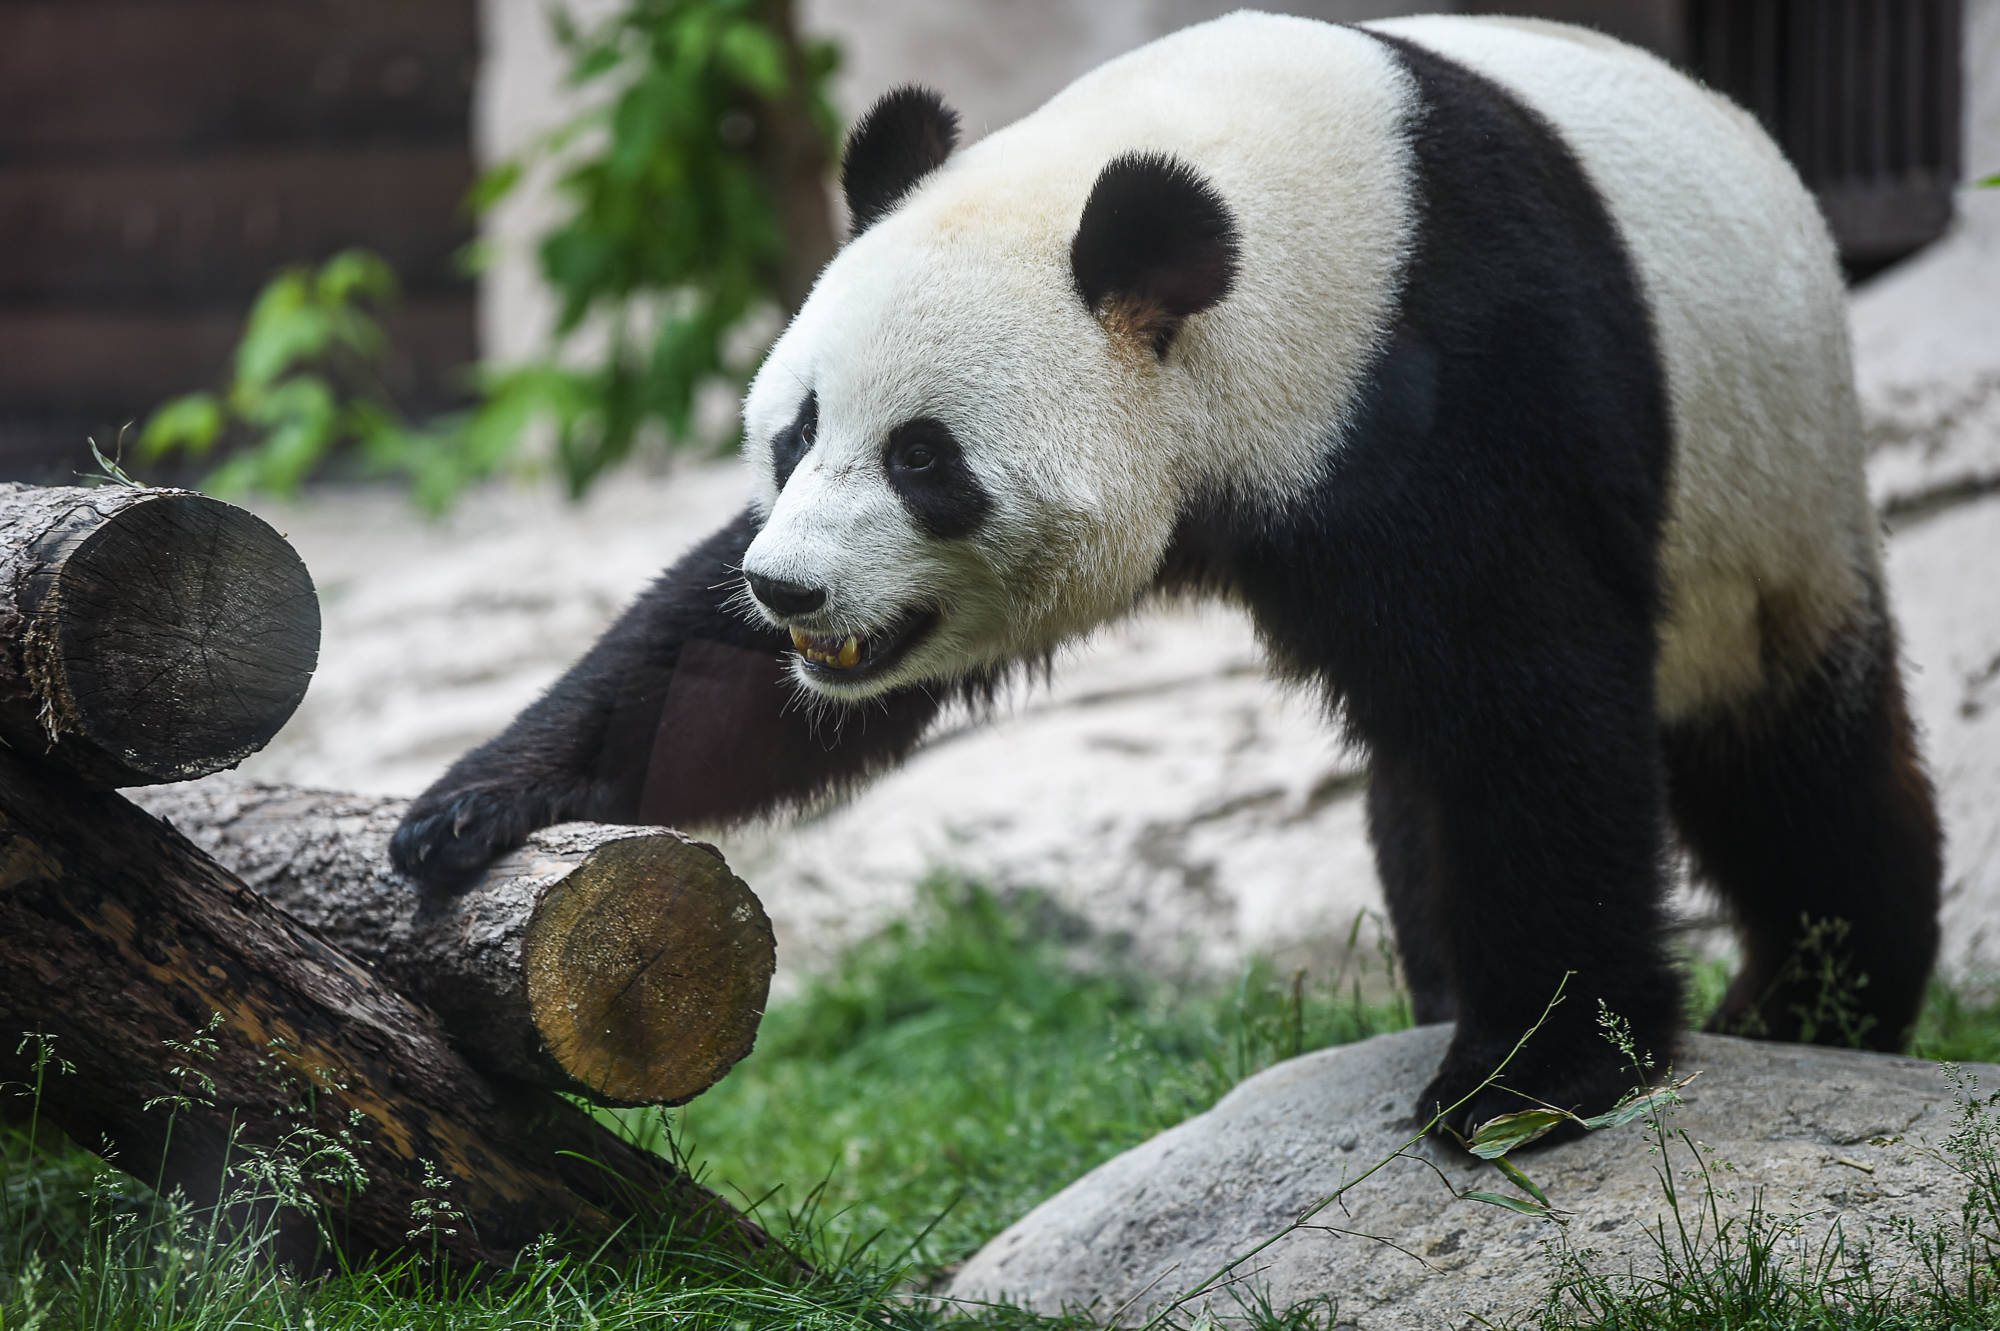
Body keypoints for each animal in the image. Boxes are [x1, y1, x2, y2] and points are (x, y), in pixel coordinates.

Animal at [390, 10, 1936, 1135]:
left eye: (924, 458)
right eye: (797, 428)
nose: (795, 596)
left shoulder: (1472, 374)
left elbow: (1530, 702)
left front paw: (1532, 1077)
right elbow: (710, 682)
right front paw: (470, 807)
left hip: (1764, 502)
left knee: (1788, 758)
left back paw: (1820, 997)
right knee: (1416, 774)